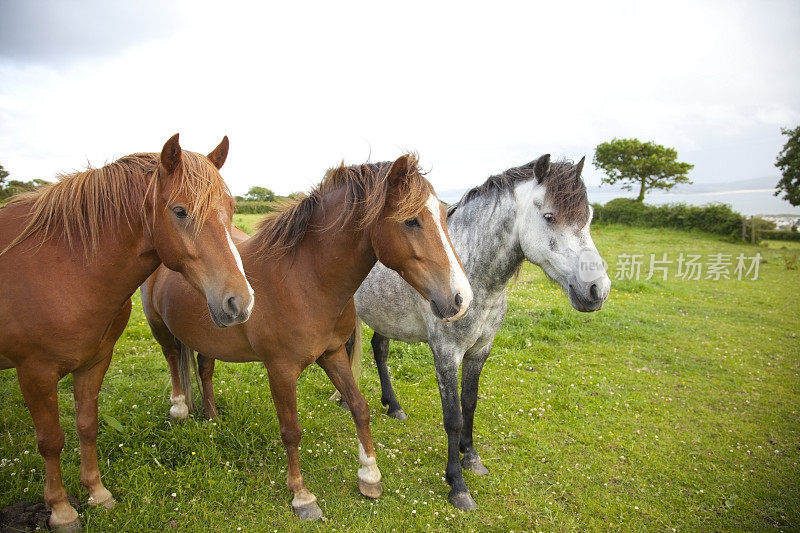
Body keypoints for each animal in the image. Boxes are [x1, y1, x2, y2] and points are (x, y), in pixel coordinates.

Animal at [0, 135, 253, 528]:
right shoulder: (35, 372)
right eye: (180, 211)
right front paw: (61, 510)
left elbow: (87, 425)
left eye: (230, 207)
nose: (239, 301)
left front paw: (98, 494)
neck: (66, 268)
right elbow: (51, 439)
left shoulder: (95, 362)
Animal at [141, 154, 472, 520]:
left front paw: (369, 476)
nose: (461, 299)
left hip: (209, 338)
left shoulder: (333, 354)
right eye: (412, 221)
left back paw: (212, 419)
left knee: (204, 369)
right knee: (174, 362)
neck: (306, 279)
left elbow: (359, 407)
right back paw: (180, 410)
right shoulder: (281, 370)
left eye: (443, 214)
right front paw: (301, 495)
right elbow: (291, 431)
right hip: (161, 330)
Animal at [354, 153, 608, 508]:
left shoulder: (480, 349)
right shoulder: (446, 353)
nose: (597, 290)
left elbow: (470, 402)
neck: (471, 274)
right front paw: (457, 486)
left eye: (589, 217)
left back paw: (393, 405)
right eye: (549, 216)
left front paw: (471, 457)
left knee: (379, 349)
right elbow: (452, 416)